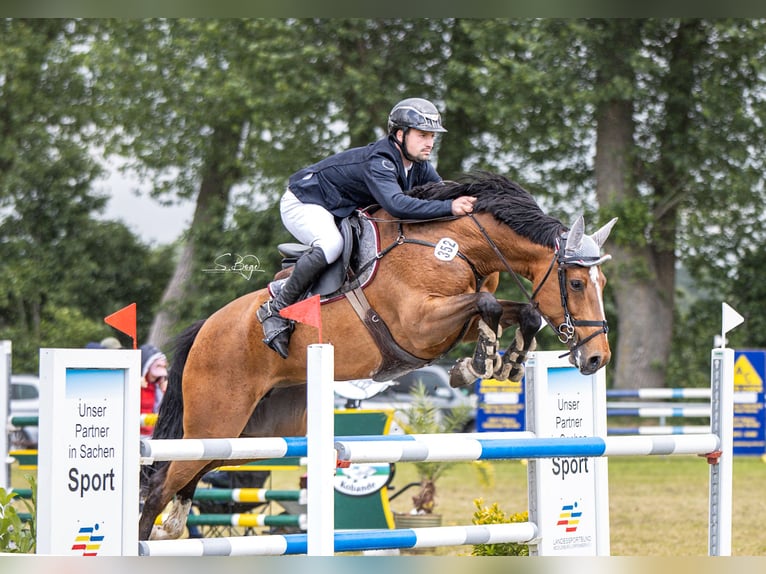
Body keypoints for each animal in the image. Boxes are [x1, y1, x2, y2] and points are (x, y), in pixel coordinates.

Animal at [136, 173, 616, 544]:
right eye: (576, 283)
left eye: (602, 282)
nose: (597, 358)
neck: (458, 246)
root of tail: (207, 328)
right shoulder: (419, 325)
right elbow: (487, 304)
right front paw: (477, 364)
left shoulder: (449, 325)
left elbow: (519, 310)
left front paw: (507, 360)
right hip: (215, 419)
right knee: (159, 483)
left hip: (247, 437)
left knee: (191, 473)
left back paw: (171, 526)